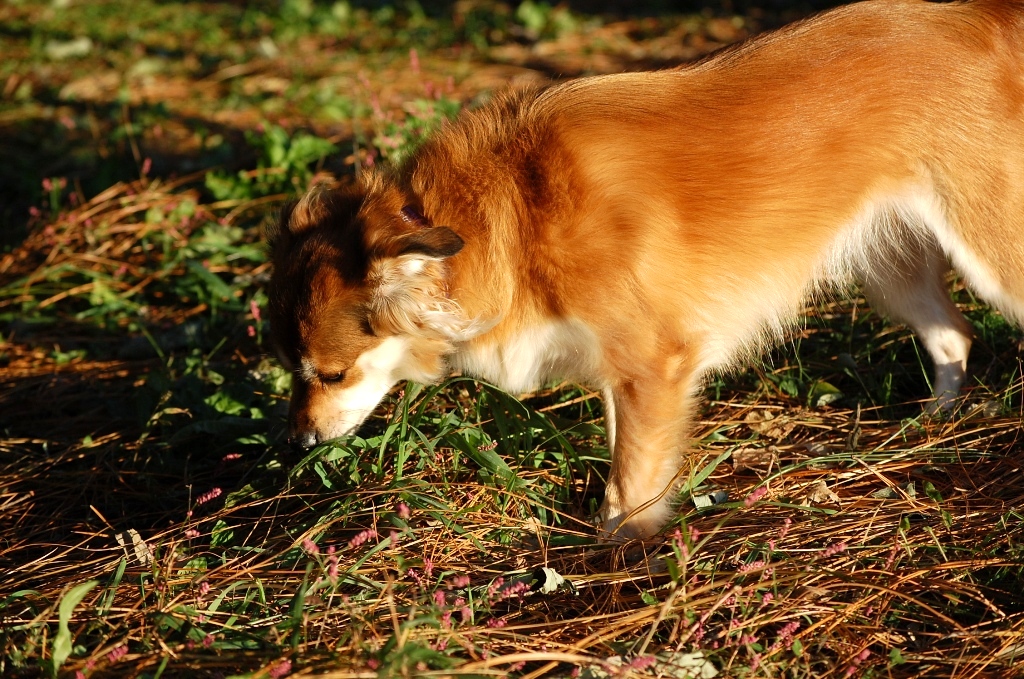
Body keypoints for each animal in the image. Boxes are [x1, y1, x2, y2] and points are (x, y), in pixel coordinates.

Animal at [268, 0, 1024, 540]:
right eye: (292, 370)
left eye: (331, 373)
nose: (297, 444)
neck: (510, 218)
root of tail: (983, 18)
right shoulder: (623, 368)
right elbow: (629, 456)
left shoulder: (656, 361)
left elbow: (630, 485)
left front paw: (616, 559)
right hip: (890, 267)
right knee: (954, 336)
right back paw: (931, 426)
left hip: (993, 258)